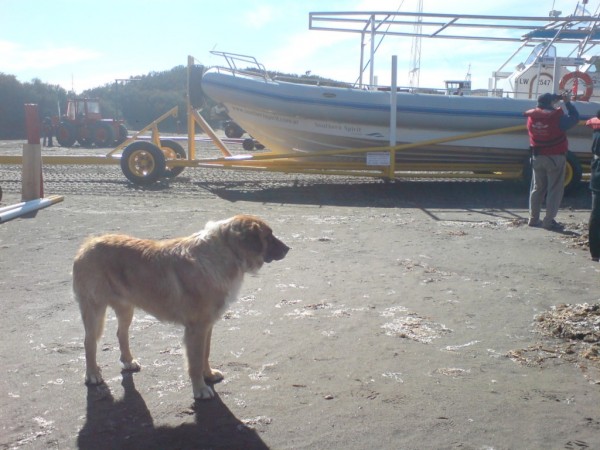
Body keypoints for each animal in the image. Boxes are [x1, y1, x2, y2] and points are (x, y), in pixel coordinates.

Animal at [74, 215, 290, 400]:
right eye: (268, 236)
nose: (288, 248)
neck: (225, 253)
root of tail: (87, 244)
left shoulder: (207, 325)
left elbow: (205, 354)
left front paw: (209, 375)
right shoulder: (196, 328)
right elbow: (195, 361)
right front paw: (200, 389)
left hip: (126, 308)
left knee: (121, 333)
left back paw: (128, 361)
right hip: (95, 309)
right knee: (89, 342)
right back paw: (92, 374)